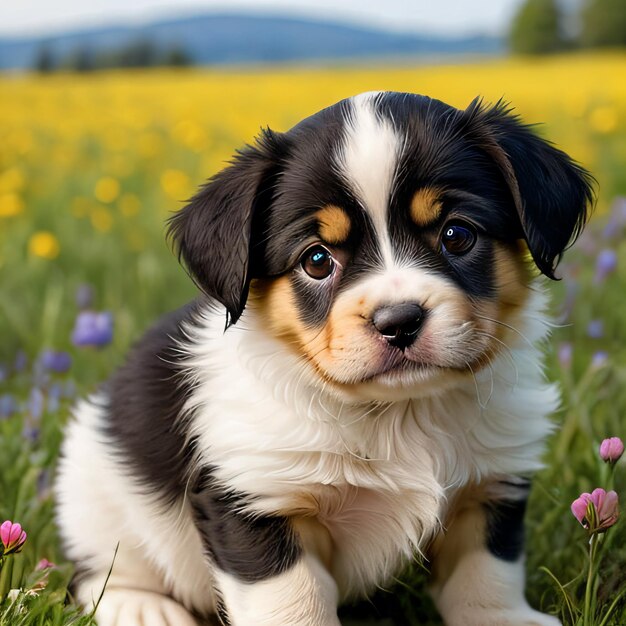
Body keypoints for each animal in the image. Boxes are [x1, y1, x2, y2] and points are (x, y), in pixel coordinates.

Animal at [53, 89, 588, 624]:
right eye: (316, 260)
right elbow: (294, 602)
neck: (398, 416)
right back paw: (142, 607)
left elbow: (487, 574)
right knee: (96, 572)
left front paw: (504, 618)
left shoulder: (491, 483)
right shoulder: (256, 498)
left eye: (457, 235)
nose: (399, 322)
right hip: (97, 499)